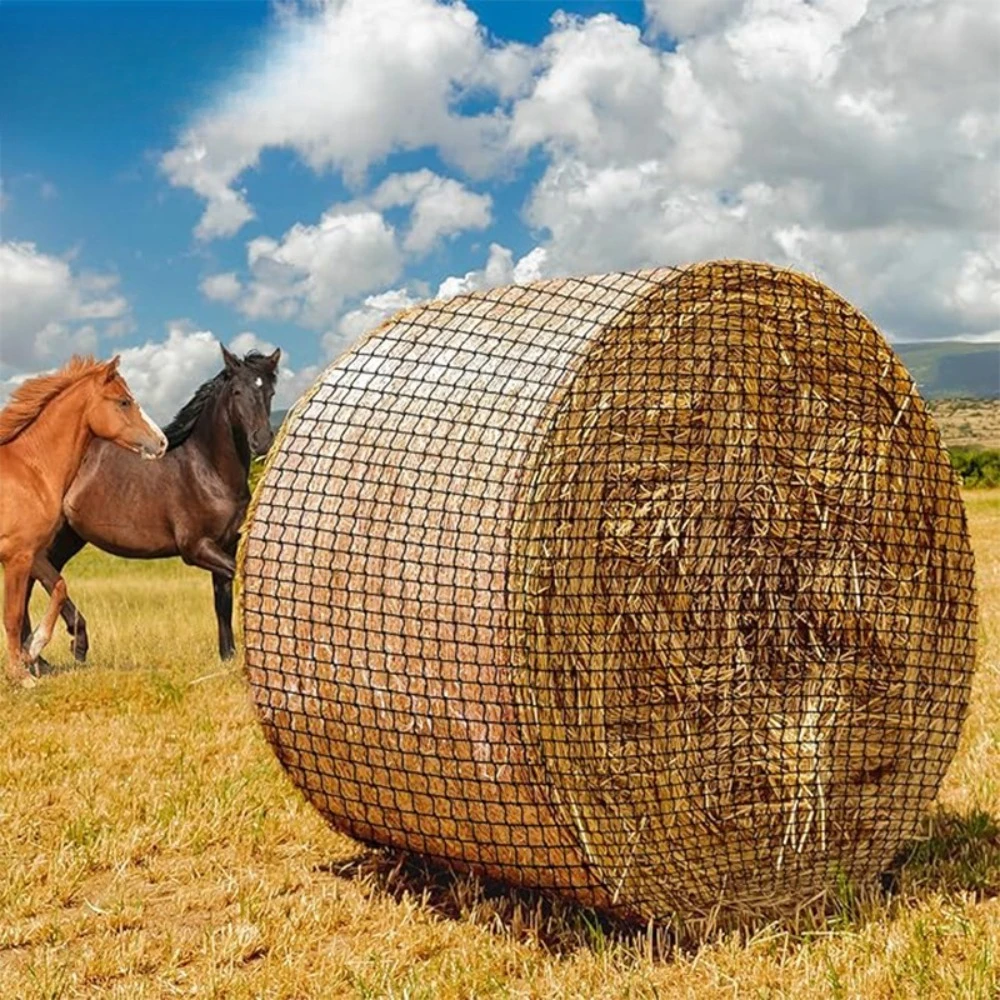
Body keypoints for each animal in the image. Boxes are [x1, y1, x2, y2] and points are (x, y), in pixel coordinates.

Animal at [1, 355, 167, 687]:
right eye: (124, 401)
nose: (162, 442)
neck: (31, 470)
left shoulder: (34, 554)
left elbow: (60, 588)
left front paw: (33, 649)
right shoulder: (16, 556)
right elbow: (12, 616)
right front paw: (21, 676)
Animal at [23, 345, 280, 665]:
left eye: (269, 391)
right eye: (236, 391)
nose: (262, 441)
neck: (208, 471)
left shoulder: (226, 544)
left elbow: (222, 603)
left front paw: (228, 657)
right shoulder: (196, 548)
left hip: (69, 537)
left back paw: (40, 656)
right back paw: (64, 646)